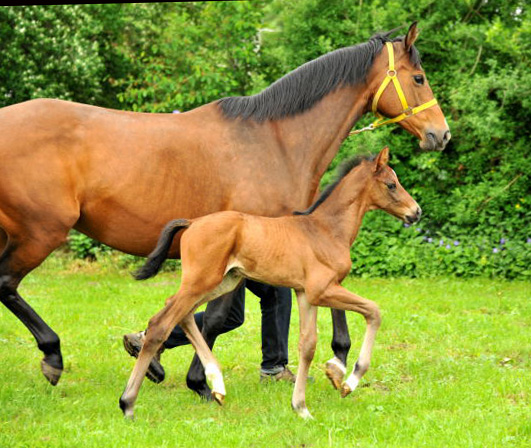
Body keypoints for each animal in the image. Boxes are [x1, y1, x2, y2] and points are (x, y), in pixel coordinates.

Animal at [119, 148, 420, 420]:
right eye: (391, 184)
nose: (415, 212)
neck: (326, 230)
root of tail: (192, 223)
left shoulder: (305, 294)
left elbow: (307, 346)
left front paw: (301, 408)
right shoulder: (322, 290)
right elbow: (374, 311)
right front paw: (348, 383)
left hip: (222, 282)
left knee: (181, 315)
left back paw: (217, 385)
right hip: (201, 281)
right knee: (161, 324)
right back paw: (128, 403)